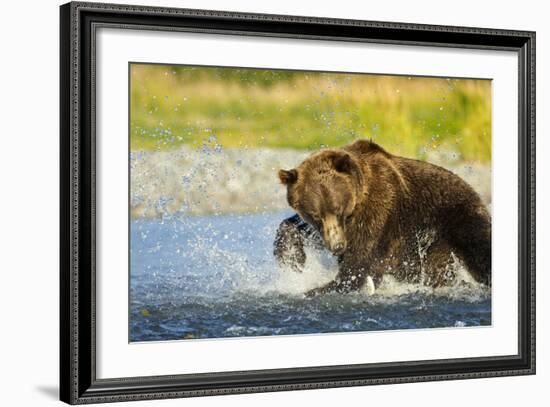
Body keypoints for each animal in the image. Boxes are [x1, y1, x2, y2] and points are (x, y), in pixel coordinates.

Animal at [274, 139, 492, 296]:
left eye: (338, 209)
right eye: (315, 215)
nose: (337, 246)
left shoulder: (378, 213)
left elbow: (358, 266)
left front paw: (317, 288)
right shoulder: (332, 229)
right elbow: (298, 228)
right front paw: (292, 259)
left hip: (459, 218)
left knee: (480, 252)